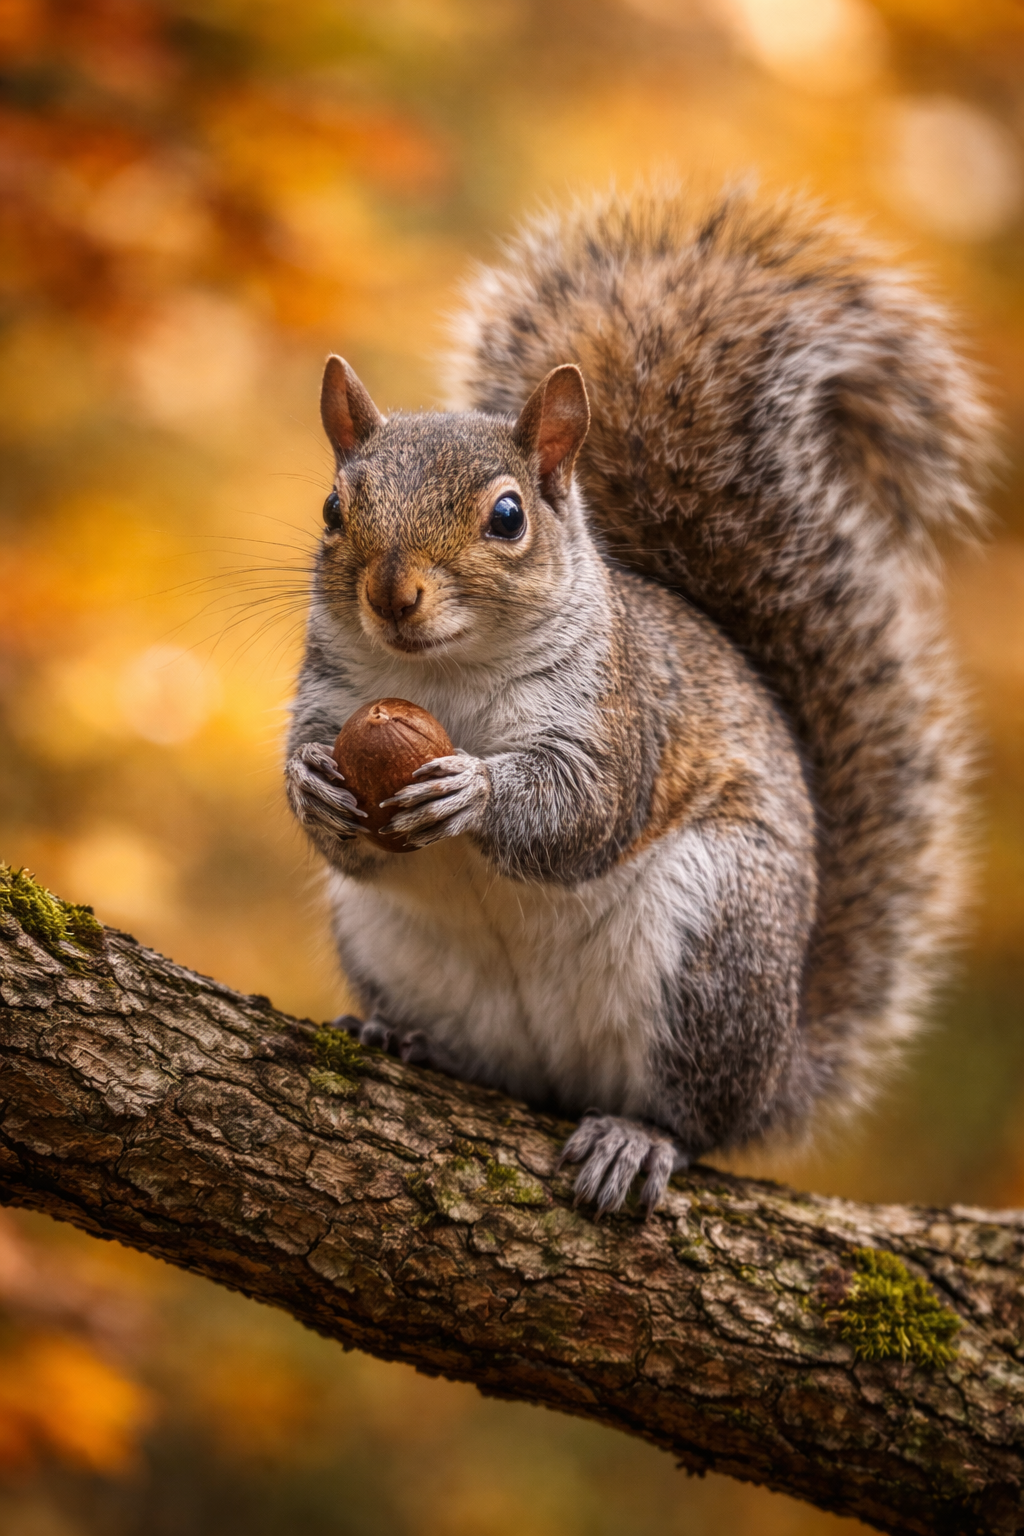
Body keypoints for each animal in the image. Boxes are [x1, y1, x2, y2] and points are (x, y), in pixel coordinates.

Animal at [285, 186, 990, 1216]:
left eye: (508, 516)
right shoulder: (332, 695)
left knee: (694, 1116)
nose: (391, 595)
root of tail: (778, 1064)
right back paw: (405, 1040)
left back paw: (638, 1137)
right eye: (336, 509)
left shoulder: (619, 713)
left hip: (712, 947)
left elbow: (585, 811)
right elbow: (333, 816)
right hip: (390, 946)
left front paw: (473, 790)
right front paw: (312, 783)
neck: (442, 677)